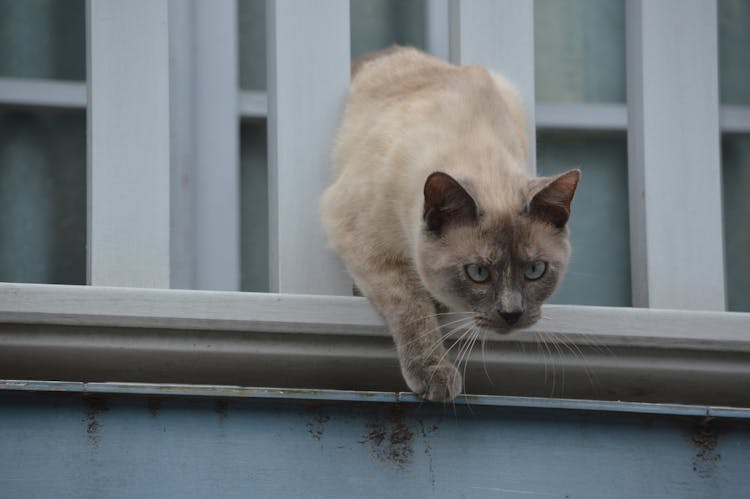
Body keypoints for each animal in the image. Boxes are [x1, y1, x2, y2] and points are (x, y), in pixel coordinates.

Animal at [320, 47, 580, 402]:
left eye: (535, 270)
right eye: (478, 273)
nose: (511, 314)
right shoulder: (363, 242)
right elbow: (413, 308)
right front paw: (436, 374)